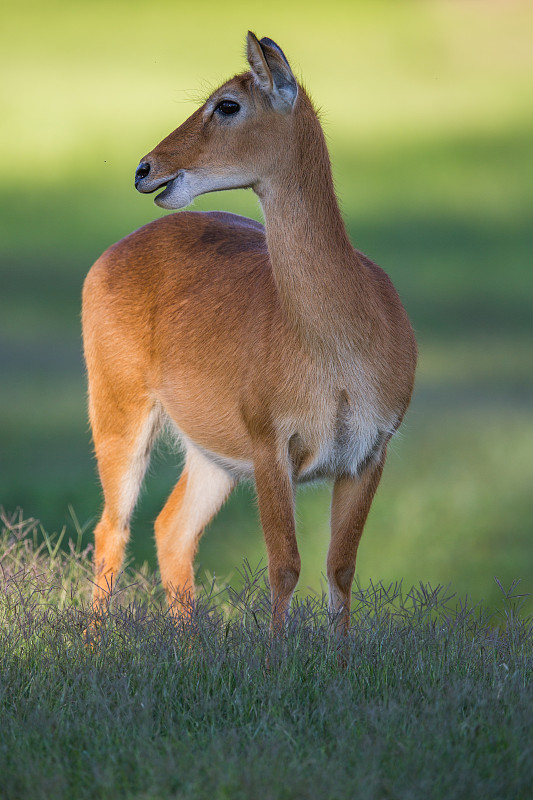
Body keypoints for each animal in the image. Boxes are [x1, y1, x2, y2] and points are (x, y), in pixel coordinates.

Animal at [82, 31, 416, 636]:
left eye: (228, 104)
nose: (145, 168)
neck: (341, 350)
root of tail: (112, 252)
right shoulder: (271, 446)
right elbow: (284, 565)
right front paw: (275, 656)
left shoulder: (368, 452)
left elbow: (340, 570)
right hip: (118, 411)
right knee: (111, 529)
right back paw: (93, 646)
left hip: (210, 455)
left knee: (170, 529)